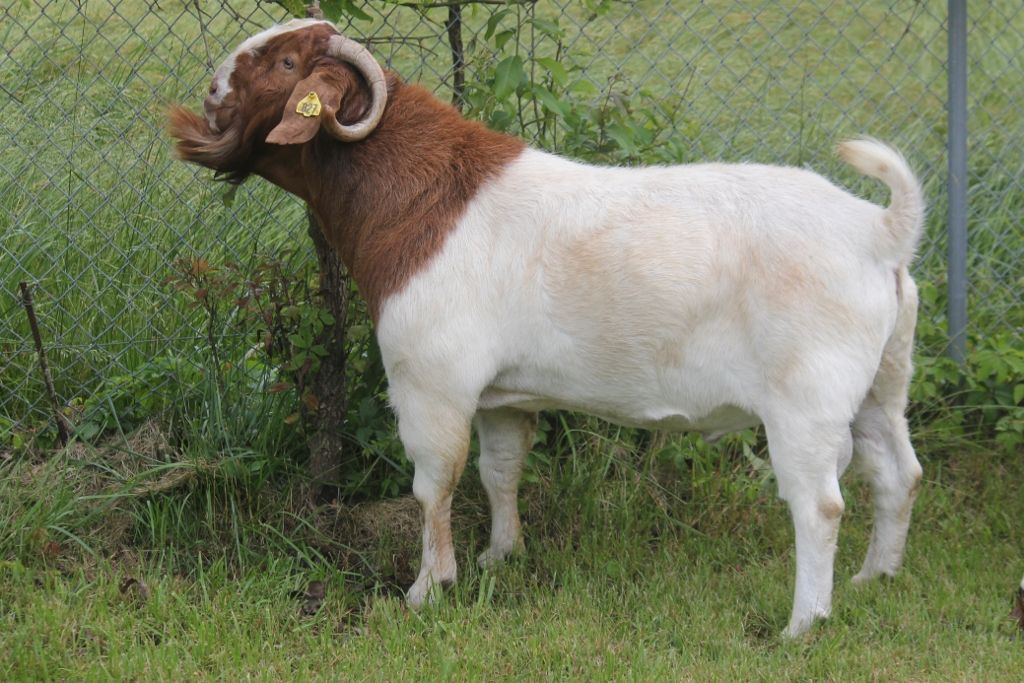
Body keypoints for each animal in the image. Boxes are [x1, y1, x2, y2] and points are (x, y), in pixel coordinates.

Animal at [169, 19, 925, 637]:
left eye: (287, 61)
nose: (210, 91)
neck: (423, 195)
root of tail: (880, 232)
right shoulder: (504, 397)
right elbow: (499, 470)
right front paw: (500, 556)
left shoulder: (430, 382)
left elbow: (434, 483)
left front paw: (427, 588)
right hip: (880, 385)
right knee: (898, 471)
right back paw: (876, 578)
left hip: (807, 400)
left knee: (819, 503)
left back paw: (803, 623)